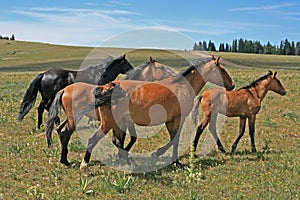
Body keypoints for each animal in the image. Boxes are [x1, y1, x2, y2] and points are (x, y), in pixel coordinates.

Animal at [46, 56, 179, 166]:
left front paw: (121, 157)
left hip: (70, 117)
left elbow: (124, 139)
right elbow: (127, 139)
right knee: (66, 132)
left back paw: (64, 159)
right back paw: (67, 161)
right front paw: (124, 157)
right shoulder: (124, 121)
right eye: (161, 67)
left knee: (60, 130)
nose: (174, 75)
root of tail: (64, 90)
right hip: (75, 118)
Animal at [75, 55, 234, 171]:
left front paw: (161, 156)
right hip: (108, 123)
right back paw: (85, 166)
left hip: (116, 122)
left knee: (115, 141)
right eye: (222, 70)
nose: (232, 85)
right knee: (92, 140)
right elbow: (175, 140)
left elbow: (172, 139)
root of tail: (106, 88)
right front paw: (171, 160)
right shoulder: (179, 118)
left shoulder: (170, 120)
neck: (182, 86)